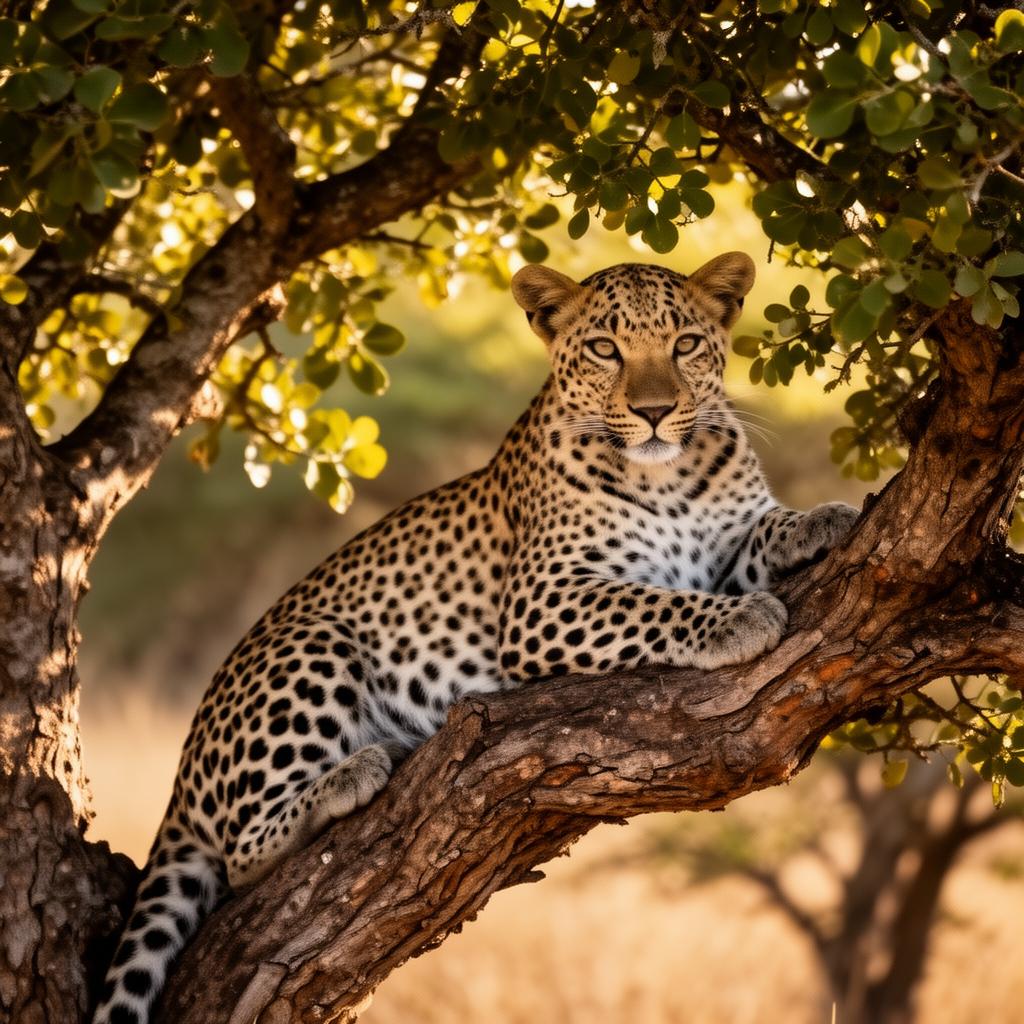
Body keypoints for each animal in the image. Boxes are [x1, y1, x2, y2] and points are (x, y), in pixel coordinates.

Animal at [94, 251, 858, 1024]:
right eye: (605, 349)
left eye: (686, 344)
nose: (653, 412)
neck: (669, 473)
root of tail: (182, 779)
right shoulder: (544, 598)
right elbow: (652, 602)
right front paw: (739, 620)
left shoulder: (721, 545)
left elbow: (760, 530)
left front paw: (824, 517)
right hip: (312, 640)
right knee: (242, 852)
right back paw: (359, 769)